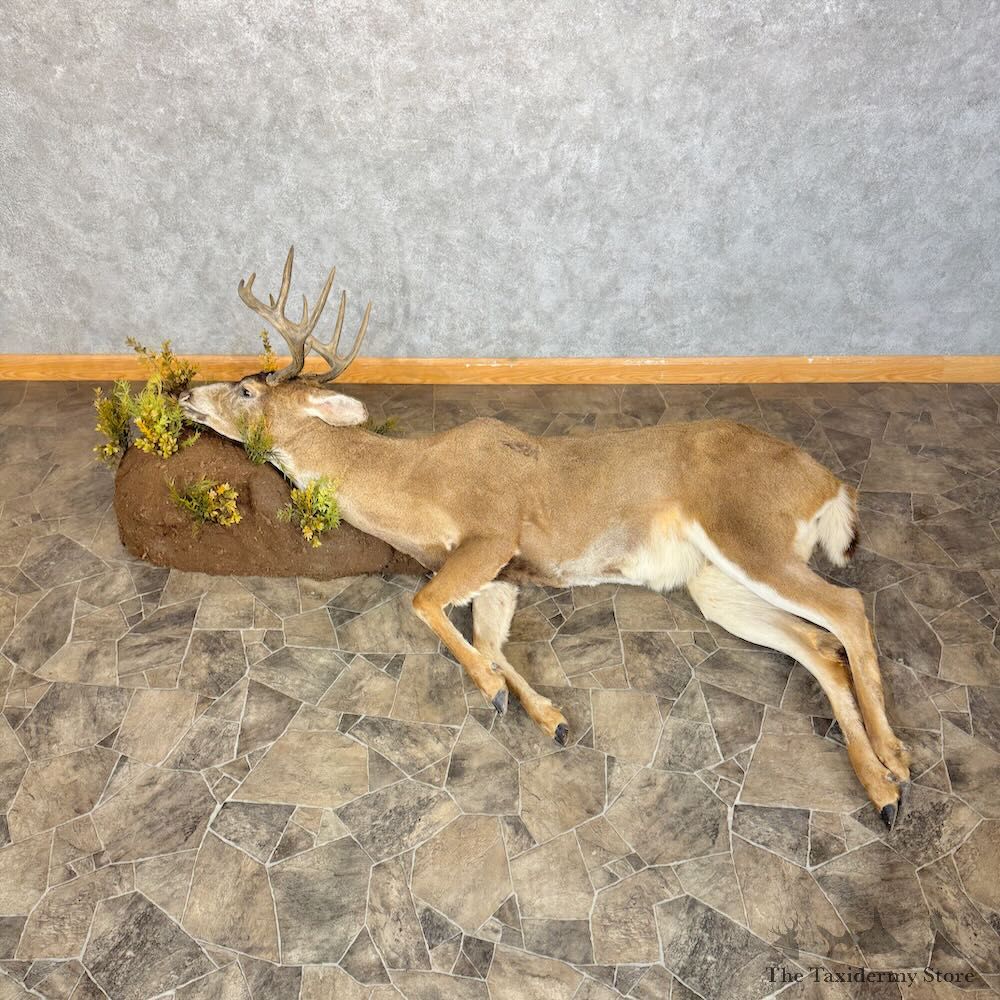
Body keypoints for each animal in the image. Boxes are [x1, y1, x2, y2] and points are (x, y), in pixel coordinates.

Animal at [179, 247, 911, 829]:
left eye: (245, 389)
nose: (185, 391)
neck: (411, 482)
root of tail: (827, 482)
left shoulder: (491, 536)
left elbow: (424, 605)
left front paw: (492, 691)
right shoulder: (505, 576)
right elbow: (486, 638)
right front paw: (546, 714)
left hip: (747, 530)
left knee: (848, 608)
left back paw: (896, 760)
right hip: (715, 582)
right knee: (819, 644)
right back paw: (881, 791)